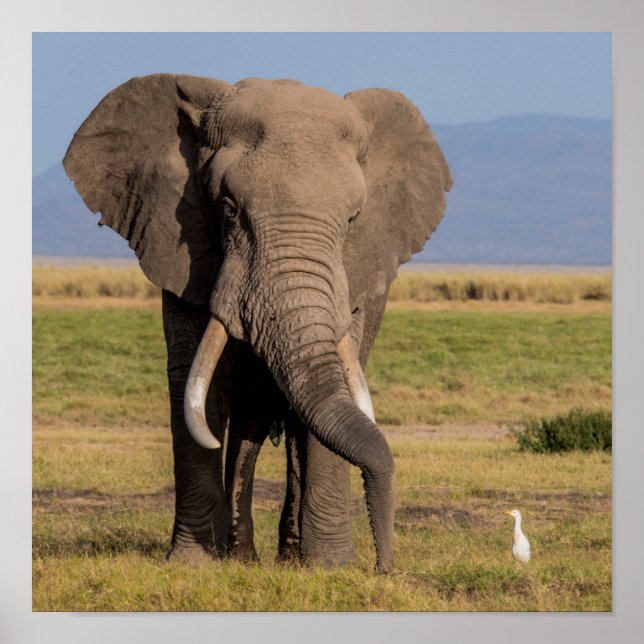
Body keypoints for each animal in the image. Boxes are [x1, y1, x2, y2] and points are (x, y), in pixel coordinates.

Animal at [63, 74, 451, 573]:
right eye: (228, 209)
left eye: (352, 219)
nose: (385, 567)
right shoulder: (183, 251)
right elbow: (196, 385)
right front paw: (194, 565)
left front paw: (330, 568)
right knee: (245, 426)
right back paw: (244, 556)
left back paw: (288, 557)